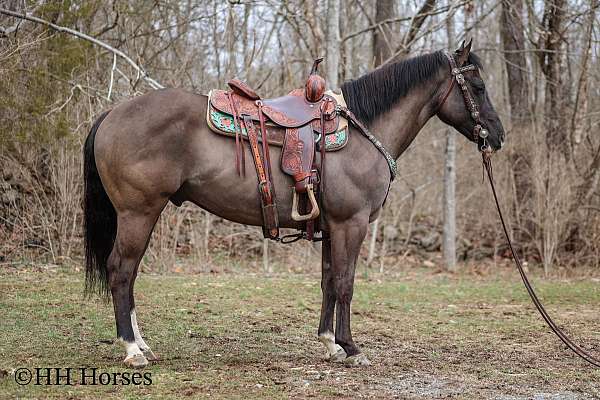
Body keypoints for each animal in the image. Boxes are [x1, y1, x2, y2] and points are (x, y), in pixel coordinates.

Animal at [83, 41, 506, 368]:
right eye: (479, 85)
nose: (498, 135)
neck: (364, 131)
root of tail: (111, 113)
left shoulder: (333, 227)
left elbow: (329, 281)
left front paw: (330, 343)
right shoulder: (351, 223)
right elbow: (347, 283)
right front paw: (352, 348)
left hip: (142, 216)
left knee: (129, 274)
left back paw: (142, 344)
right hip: (138, 213)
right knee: (121, 271)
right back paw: (132, 350)